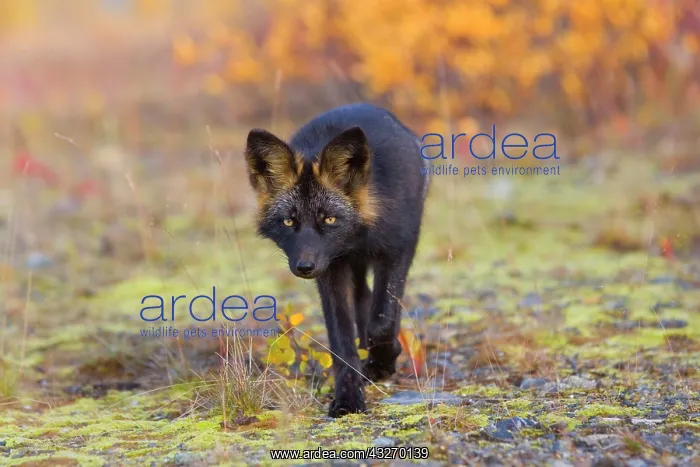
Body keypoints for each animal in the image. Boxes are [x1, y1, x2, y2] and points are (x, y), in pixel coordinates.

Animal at [244, 103, 430, 417]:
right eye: (288, 221)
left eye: (329, 219)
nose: (305, 267)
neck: (358, 236)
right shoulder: (332, 271)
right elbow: (342, 342)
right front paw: (348, 397)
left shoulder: (397, 250)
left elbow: (382, 320)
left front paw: (384, 360)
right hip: (351, 268)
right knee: (363, 299)